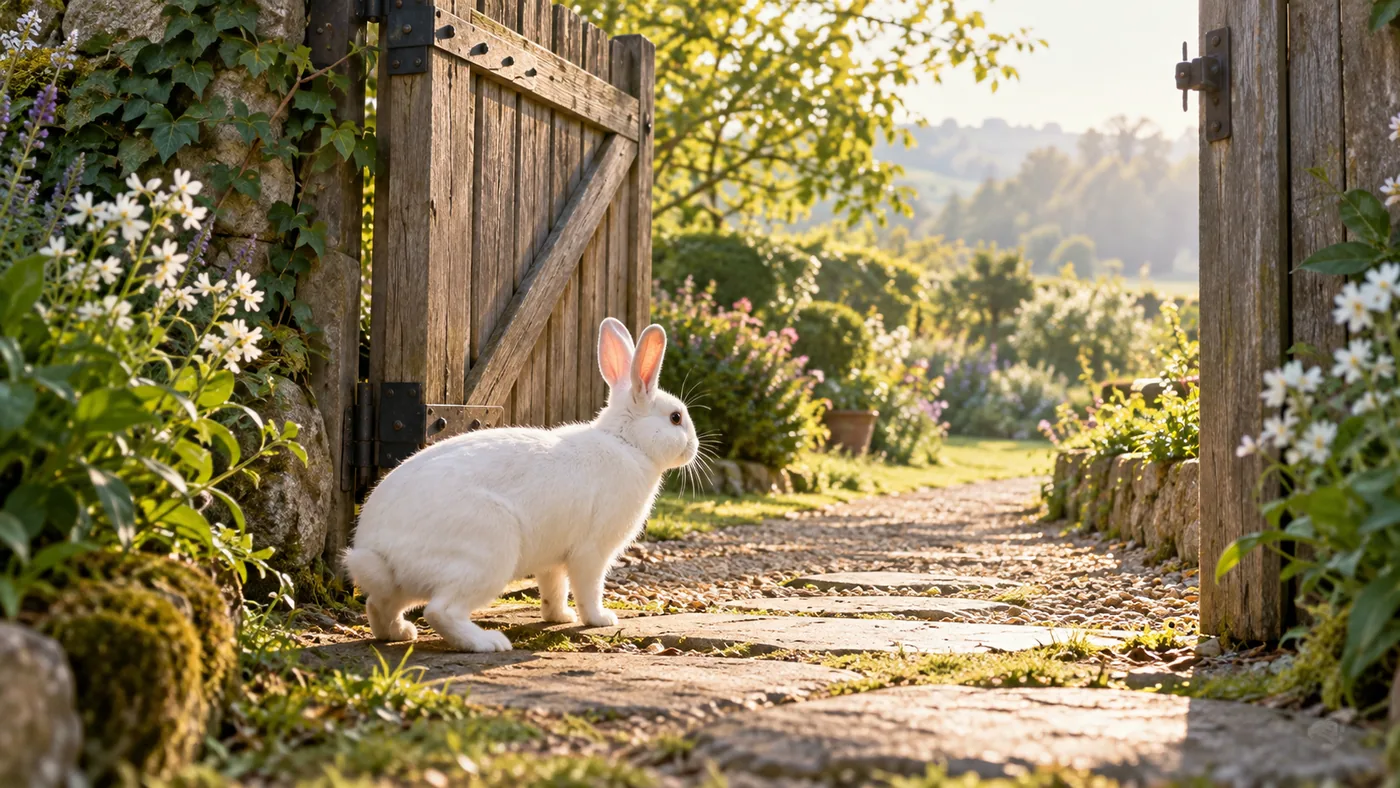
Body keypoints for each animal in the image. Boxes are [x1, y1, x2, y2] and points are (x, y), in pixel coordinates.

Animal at [344, 317, 698, 652]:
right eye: (676, 418)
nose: (694, 447)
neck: (628, 443)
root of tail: (381, 551)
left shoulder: (553, 560)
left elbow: (554, 588)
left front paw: (560, 617)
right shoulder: (592, 552)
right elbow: (588, 588)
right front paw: (600, 619)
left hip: (406, 585)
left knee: (379, 605)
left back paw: (400, 633)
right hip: (488, 552)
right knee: (440, 611)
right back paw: (488, 642)